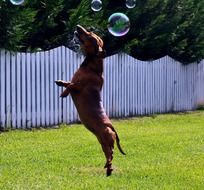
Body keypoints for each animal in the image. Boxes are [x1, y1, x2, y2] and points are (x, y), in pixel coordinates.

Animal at [55, 25, 126, 177]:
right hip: (102, 142)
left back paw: (109, 168)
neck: (92, 68)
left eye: (89, 35)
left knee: (111, 153)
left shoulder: (79, 87)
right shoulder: (75, 82)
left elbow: (71, 85)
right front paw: (60, 82)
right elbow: (67, 82)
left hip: (106, 140)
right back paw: (107, 167)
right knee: (109, 154)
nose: (78, 27)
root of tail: (111, 126)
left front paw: (64, 93)